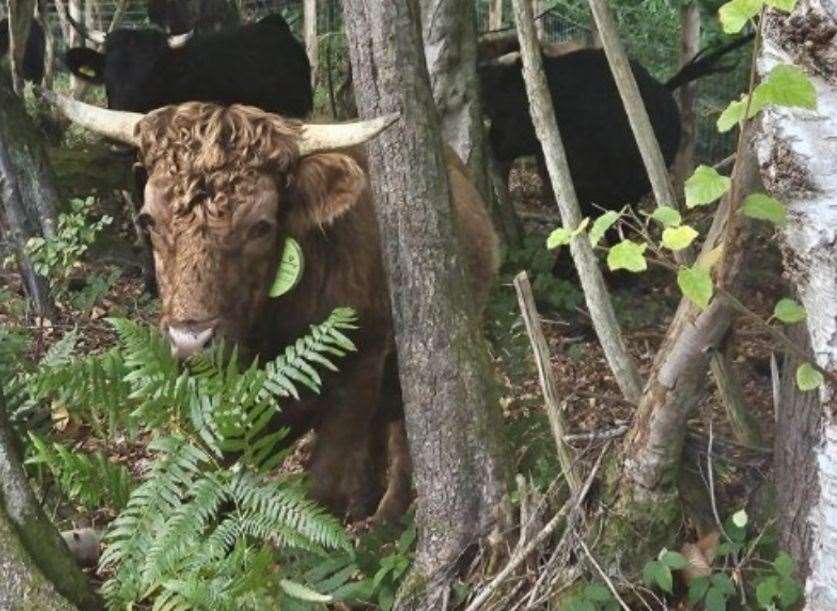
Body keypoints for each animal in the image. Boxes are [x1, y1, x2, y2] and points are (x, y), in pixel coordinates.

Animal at [45, 95, 500, 524]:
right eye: (149, 220)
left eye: (261, 226)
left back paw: (389, 511)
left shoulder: (359, 371)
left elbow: (322, 488)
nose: (190, 341)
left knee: (402, 424)